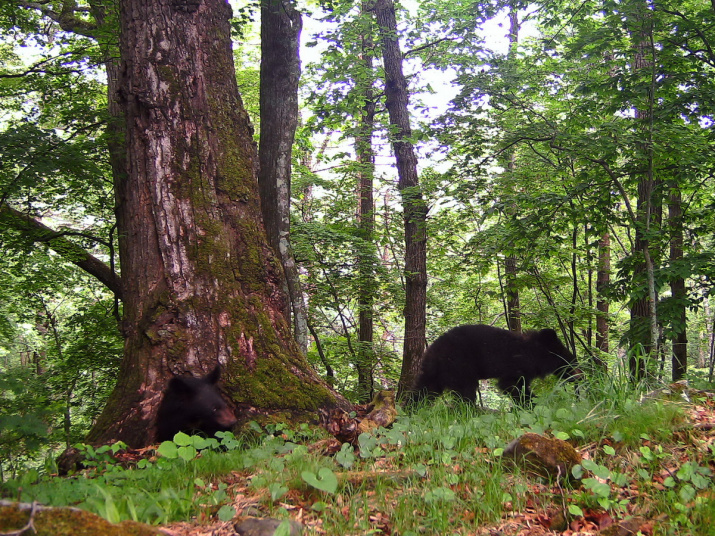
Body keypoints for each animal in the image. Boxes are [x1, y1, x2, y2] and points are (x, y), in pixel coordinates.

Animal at [414, 322, 576, 406]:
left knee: (424, 391)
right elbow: (512, 385)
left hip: (433, 372)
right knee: (466, 390)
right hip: (459, 364)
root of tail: (432, 350)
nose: (577, 375)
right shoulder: (518, 365)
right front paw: (532, 403)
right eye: (569, 362)